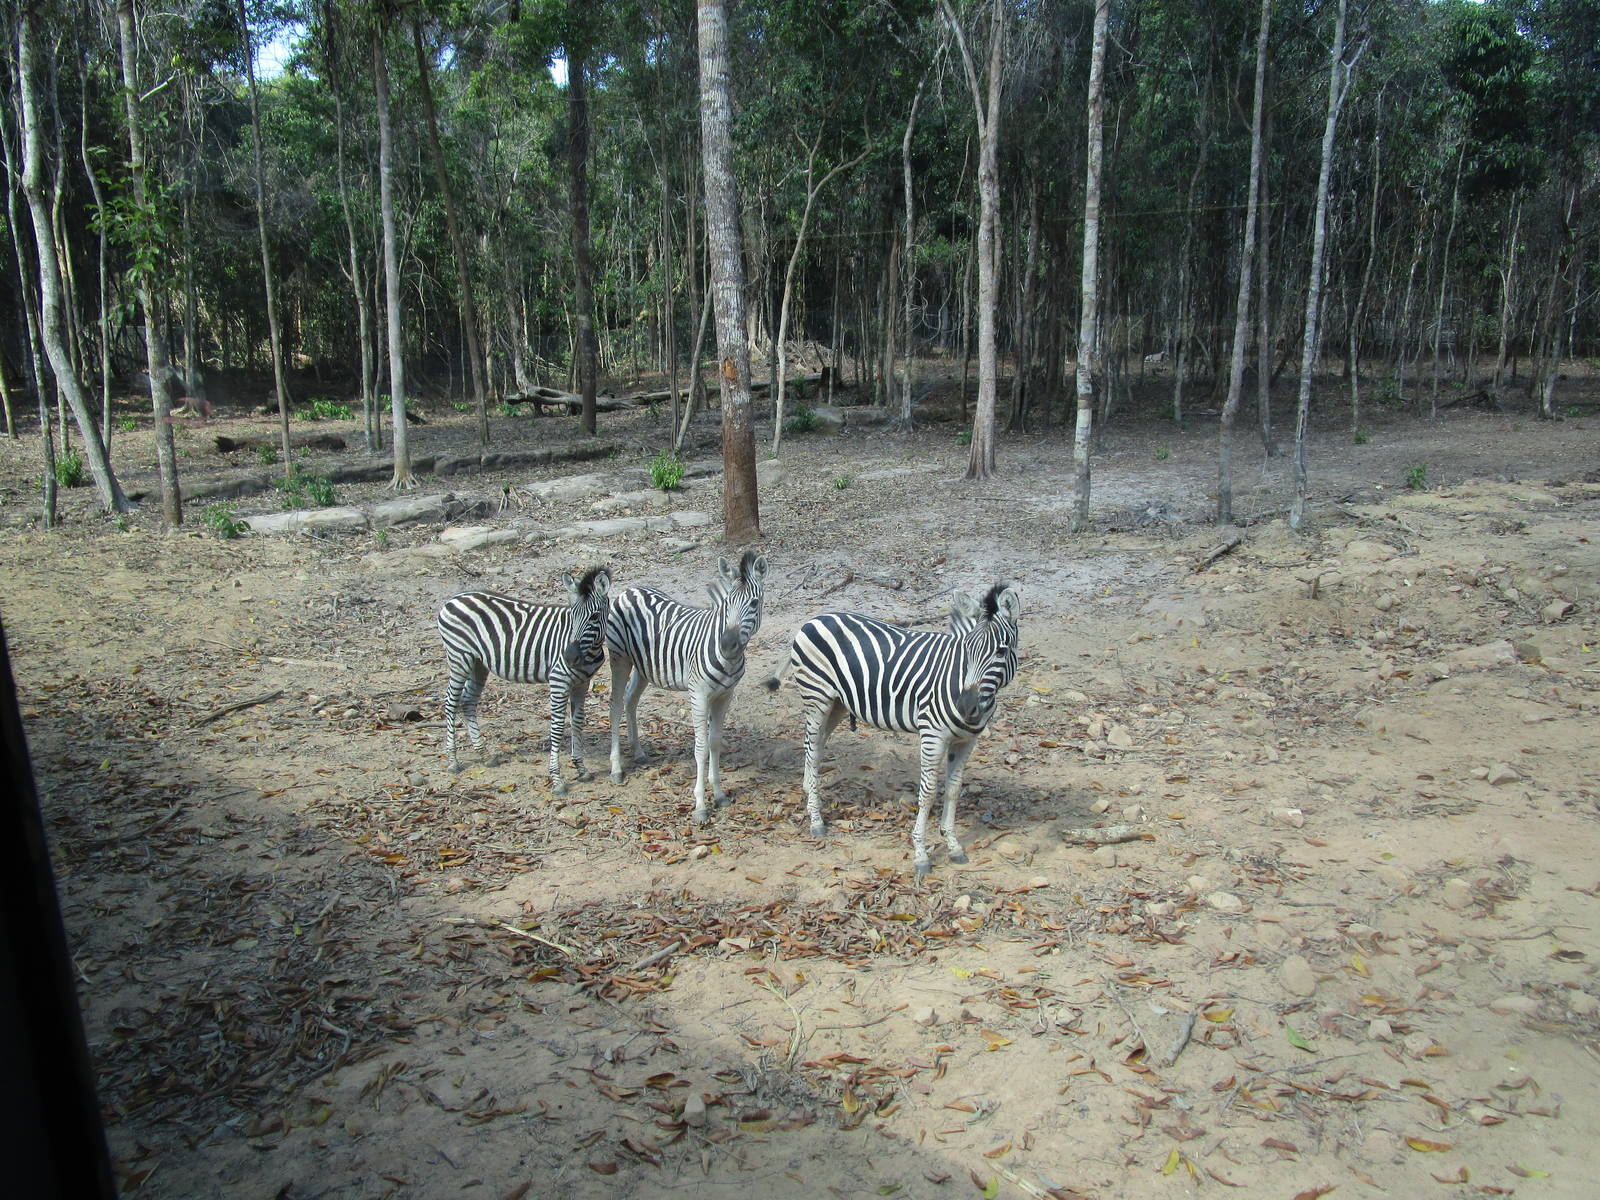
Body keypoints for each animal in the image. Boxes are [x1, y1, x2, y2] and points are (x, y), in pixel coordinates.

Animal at [436, 566, 612, 795]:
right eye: (572, 615)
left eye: (595, 616)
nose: (569, 657)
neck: (589, 652)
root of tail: (452, 599)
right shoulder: (558, 680)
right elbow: (557, 727)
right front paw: (556, 779)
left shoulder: (582, 683)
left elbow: (577, 723)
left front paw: (581, 768)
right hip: (459, 658)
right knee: (451, 702)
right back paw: (453, 760)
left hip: (478, 663)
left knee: (468, 701)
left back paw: (484, 754)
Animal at [606, 551, 769, 824]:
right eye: (727, 604)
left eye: (755, 603)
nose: (727, 645)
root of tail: (631, 589)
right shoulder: (699, 694)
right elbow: (701, 749)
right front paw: (701, 805)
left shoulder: (725, 695)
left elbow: (715, 742)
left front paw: (719, 794)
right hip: (620, 660)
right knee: (615, 705)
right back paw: (617, 768)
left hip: (644, 667)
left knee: (630, 700)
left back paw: (638, 751)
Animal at [767, 584, 1021, 875]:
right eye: (966, 649)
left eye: (1001, 651)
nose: (967, 706)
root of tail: (813, 619)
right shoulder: (932, 736)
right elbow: (928, 793)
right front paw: (921, 854)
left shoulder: (966, 742)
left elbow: (954, 790)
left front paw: (953, 845)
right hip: (816, 696)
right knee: (811, 748)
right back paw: (816, 820)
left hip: (838, 703)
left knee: (816, 746)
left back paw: (810, 796)